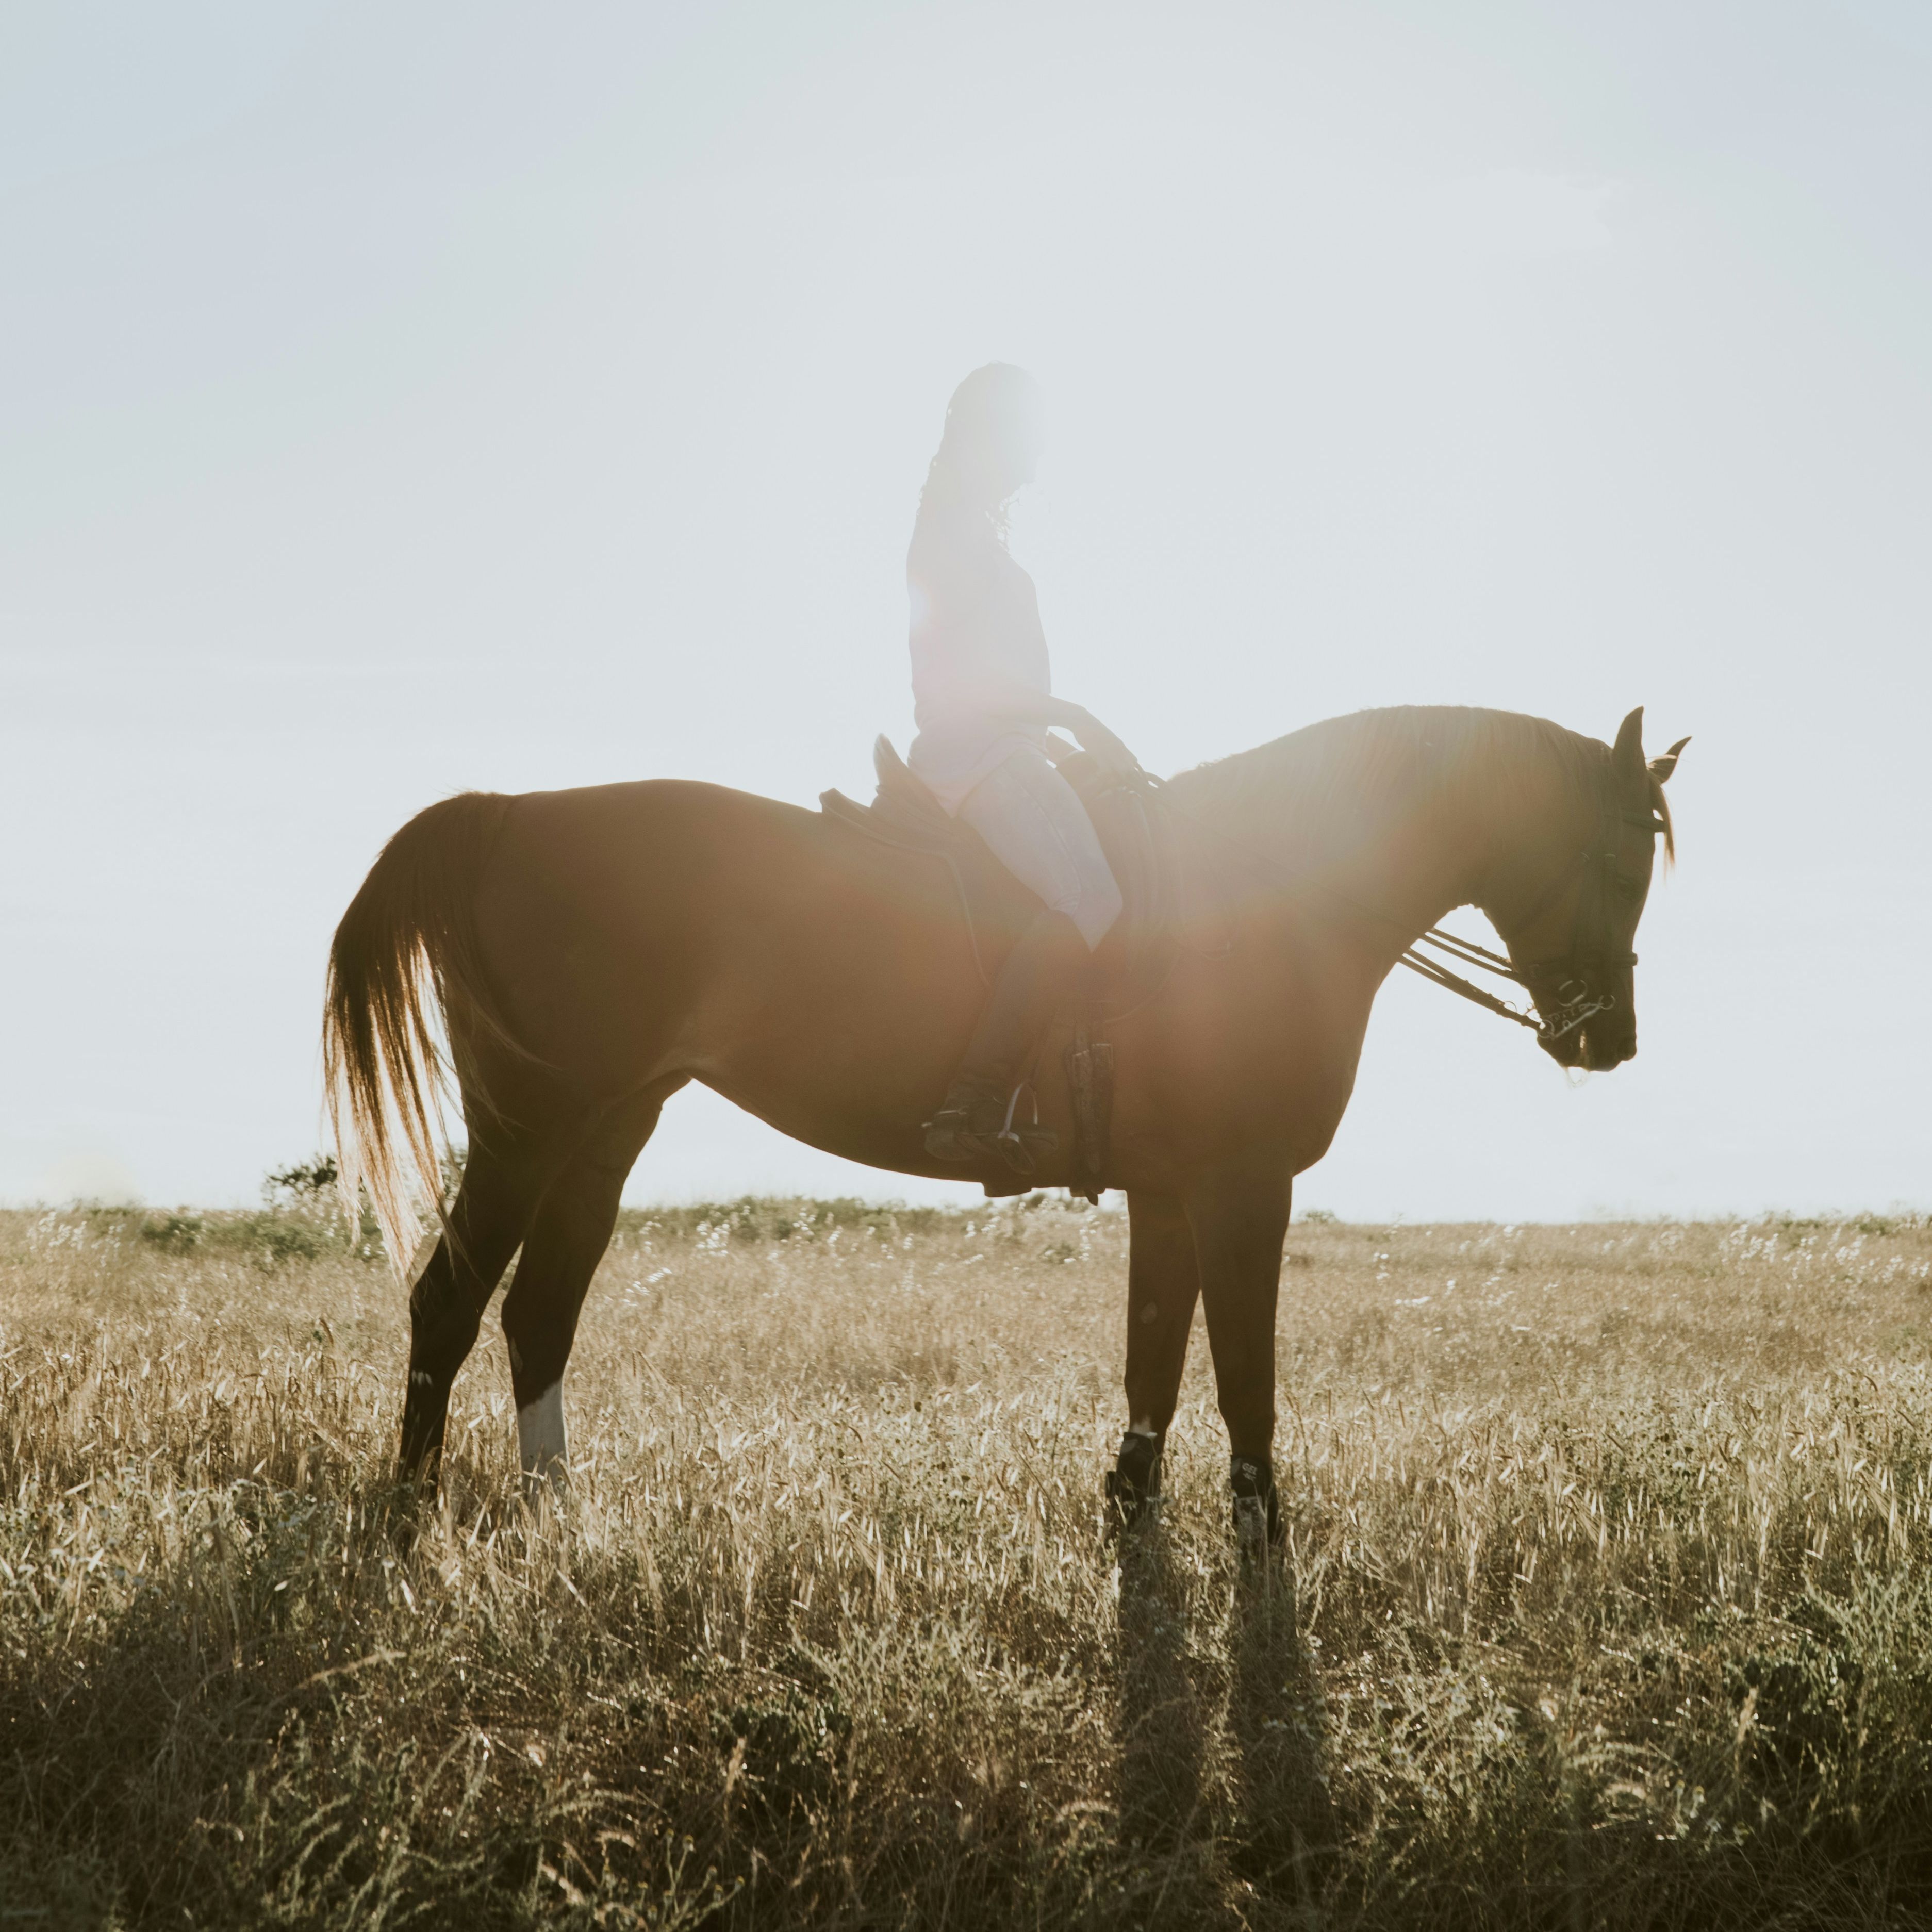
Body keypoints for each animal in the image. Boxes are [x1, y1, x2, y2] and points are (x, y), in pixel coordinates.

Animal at [323, 704, 1685, 1540]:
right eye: (1624, 859)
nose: (1605, 1039)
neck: (1262, 894)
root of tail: (509, 809)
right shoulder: (1243, 1183)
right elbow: (1242, 1372)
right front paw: (1261, 1533)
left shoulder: (1170, 1188)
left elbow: (1155, 1355)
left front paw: (1132, 1511)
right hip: (529, 1125)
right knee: (449, 1299)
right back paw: (411, 1508)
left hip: (606, 1129)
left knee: (538, 1310)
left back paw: (556, 1511)